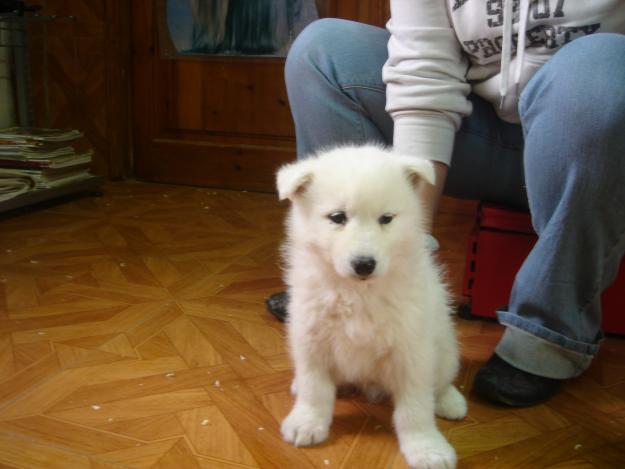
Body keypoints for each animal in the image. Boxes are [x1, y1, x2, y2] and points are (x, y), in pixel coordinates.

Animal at [276, 145, 466, 468]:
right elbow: (315, 387)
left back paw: (449, 400)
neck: (358, 293)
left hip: (444, 347)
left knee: (440, 380)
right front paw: (307, 421)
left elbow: (415, 408)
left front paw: (426, 447)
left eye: (386, 219)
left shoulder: (411, 350)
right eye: (337, 217)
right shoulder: (311, 337)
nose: (364, 264)